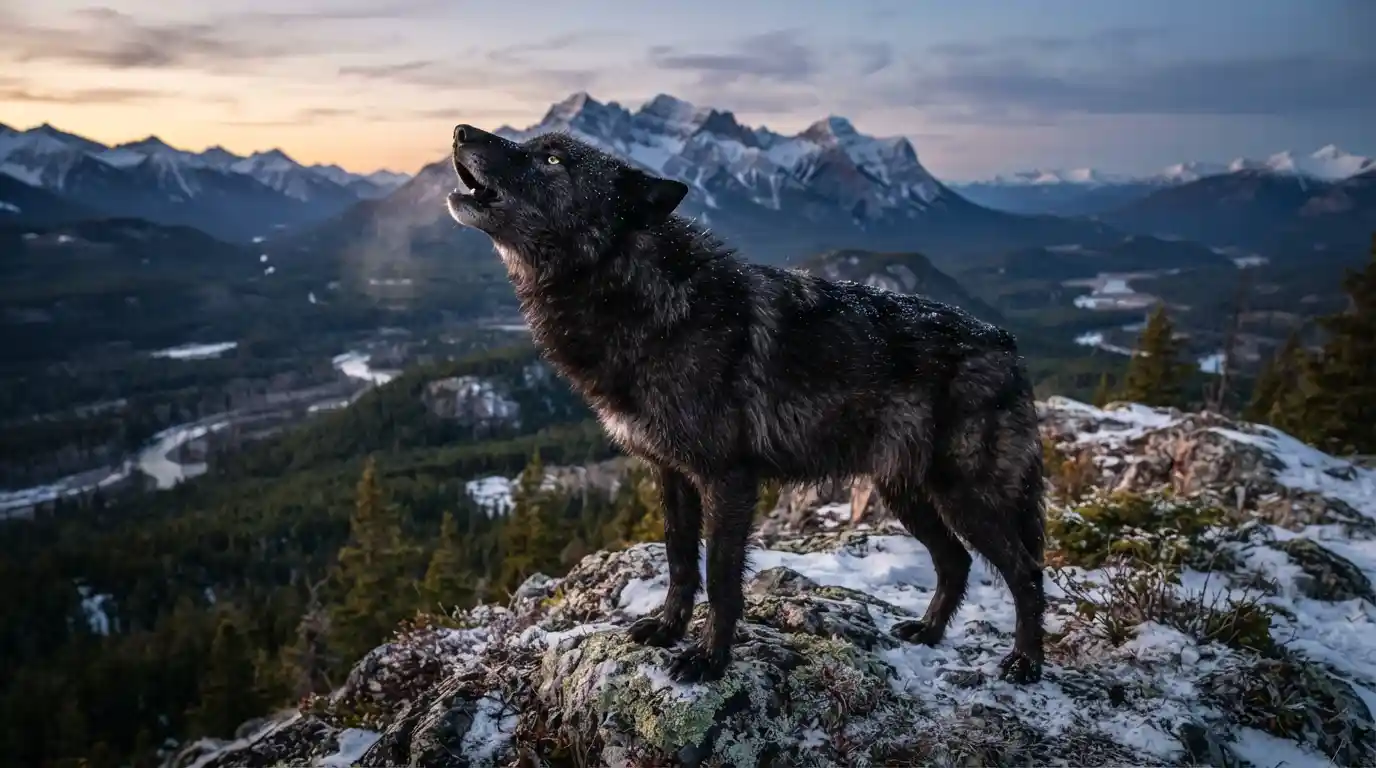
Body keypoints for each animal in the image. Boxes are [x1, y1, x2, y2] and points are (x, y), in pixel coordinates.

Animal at [446, 124, 1047, 685]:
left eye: (552, 159)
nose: (460, 132)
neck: (646, 300)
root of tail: (1006, 342)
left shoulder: (726, 479)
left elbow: (720, 577)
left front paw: (709, 658)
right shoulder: (672, 474)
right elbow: (680, 561)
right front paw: (667, 629)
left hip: (965, 495)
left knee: (1026, 570)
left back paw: (1025, 661)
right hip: (905, 493)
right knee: (956, 560)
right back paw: (928, 631)